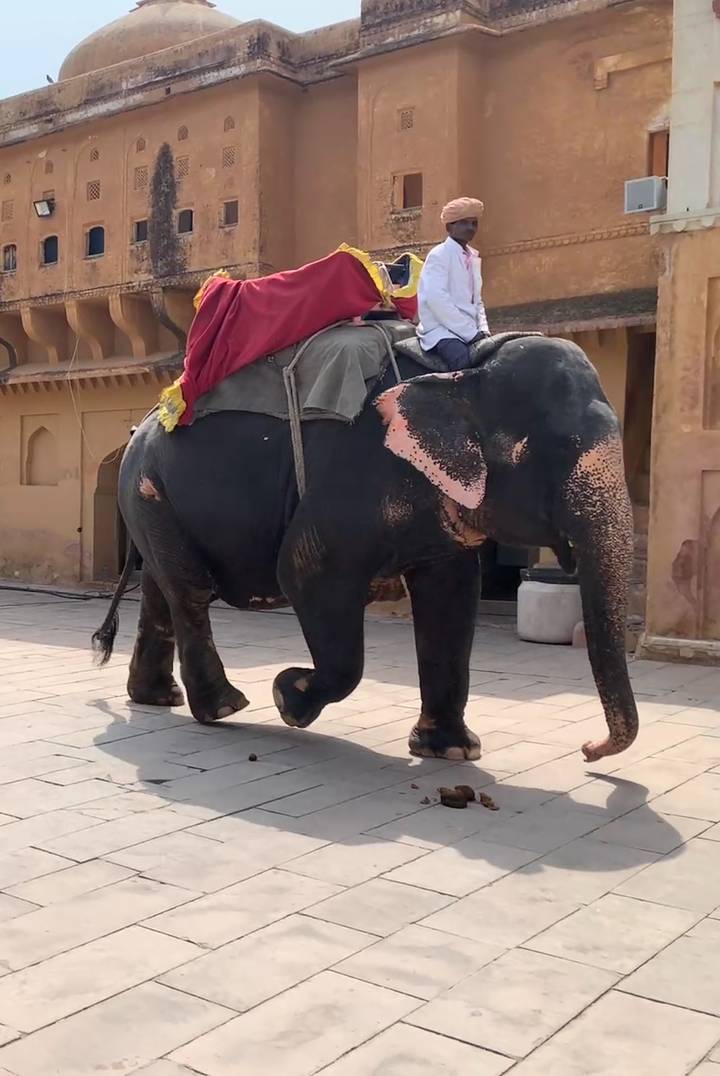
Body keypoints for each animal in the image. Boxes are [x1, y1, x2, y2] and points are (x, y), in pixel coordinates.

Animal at [93, 335, 638, 764]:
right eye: (561, 450)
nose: (588, 750)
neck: (467, 367)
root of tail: (139, 427)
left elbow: (452, 596)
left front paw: (451, 751)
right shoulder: (359, 472)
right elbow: (306, 571)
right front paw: (288, 698)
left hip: (150, 498)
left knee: (162, 588)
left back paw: (157, 698)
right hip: (146, 484)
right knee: (190, 590)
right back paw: (226, 707)